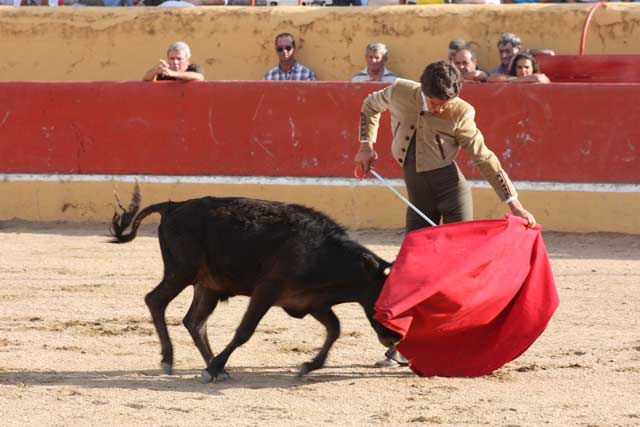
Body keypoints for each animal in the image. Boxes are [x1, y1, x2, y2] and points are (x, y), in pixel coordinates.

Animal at [110, 189, 400, 382]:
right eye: (386, 299)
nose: (394, 338)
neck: (323, 254)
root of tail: (174, 206)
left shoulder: (310, 301)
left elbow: (334, 329)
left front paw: (308, 366)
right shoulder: (266, 292)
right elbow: (244, 332)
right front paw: (214, 366)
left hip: (208, 285)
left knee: (194, 321)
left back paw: (215, 368)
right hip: (181, 271)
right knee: (156, 300)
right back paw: (172, 360)